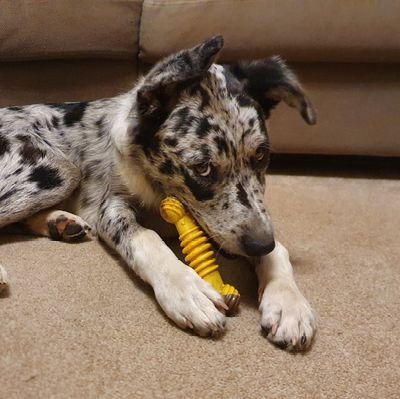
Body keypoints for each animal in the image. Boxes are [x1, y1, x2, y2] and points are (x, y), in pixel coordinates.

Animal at [0, 36, 318, 350]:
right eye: (202, 167)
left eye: (261, 155)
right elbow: (147, 239)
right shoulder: (108, 206)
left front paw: (288, 303)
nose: (261, 245)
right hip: (57, 169)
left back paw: (61, 223)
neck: (160, 188)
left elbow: (279, 250)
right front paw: (186, 288)